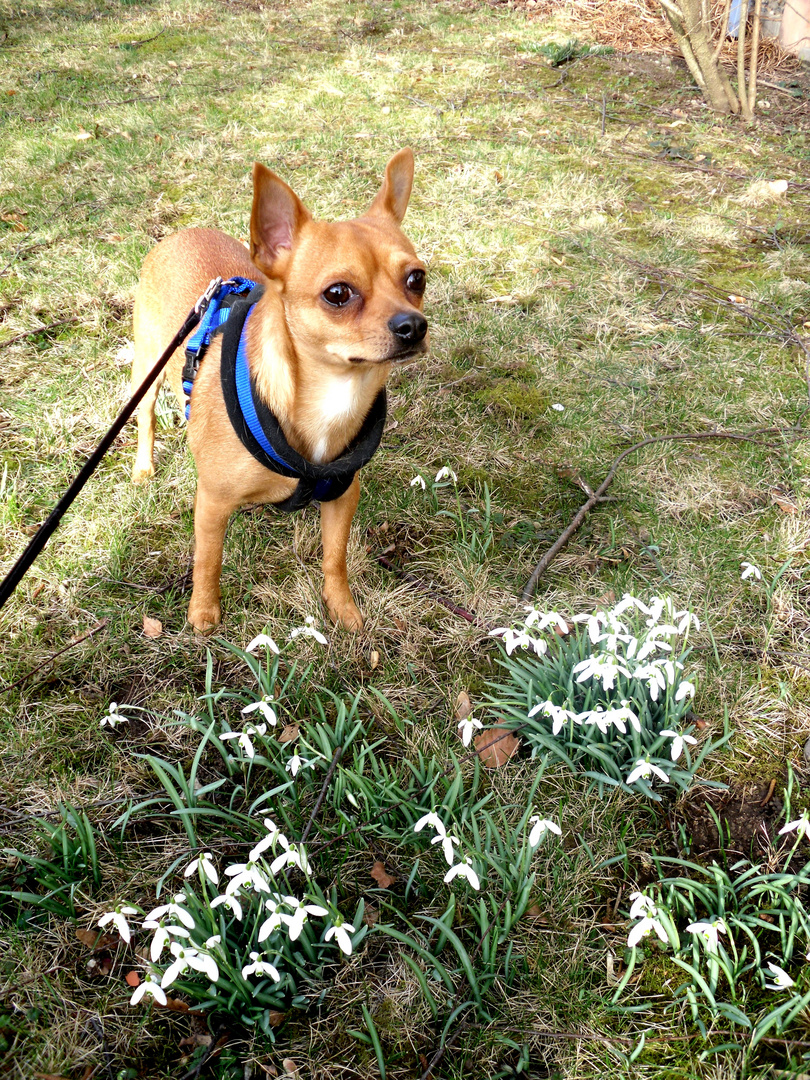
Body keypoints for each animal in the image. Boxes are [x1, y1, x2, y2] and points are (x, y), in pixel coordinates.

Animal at [130, 146, 427, 630]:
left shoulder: (343, 495)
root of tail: (180, 234)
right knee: (145, 414)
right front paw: (204, 615)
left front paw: (342, 609)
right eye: (338, 293)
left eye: (417, 279)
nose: (413, 325)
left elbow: (335, 558)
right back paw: (143, 466)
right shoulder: (212, 504)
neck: (332, 396)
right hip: (148, 368)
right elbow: (208, 561)